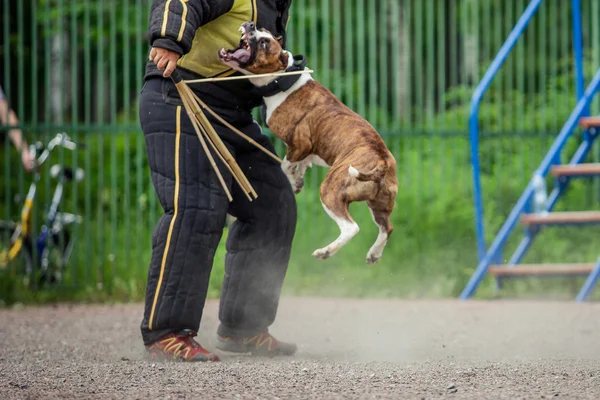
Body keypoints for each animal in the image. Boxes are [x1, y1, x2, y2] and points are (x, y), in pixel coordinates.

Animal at [218, 22, 396, 266]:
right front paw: (299, 178)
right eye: (262, 30)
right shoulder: (308, 151)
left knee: (351, 227)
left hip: (331, 190)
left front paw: (293, 181)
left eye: (264, 43)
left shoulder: (299, 144)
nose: (251, 24)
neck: (282, 78)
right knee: (387, 227)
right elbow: (301, 164)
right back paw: (374, 254)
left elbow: (284, 164)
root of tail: (381, 160)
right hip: (380, 203)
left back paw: (325, 251)